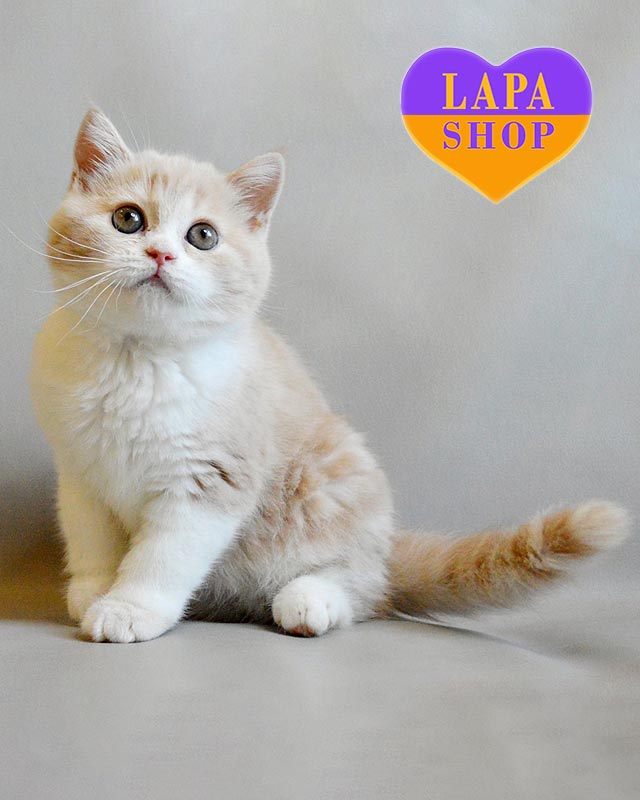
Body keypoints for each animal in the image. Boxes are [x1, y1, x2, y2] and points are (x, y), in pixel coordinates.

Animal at [30, 108, 630, 643]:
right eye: (128, 219)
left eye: (202, 236)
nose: (160, 254)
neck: (138, 362)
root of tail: (385, 546)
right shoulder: (80, 474)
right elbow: (92, 541)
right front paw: (93, 590)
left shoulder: (212, 478)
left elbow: (163, 555)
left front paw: (130, 608)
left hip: (334, 483)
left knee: (367, 590)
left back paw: (311, 599)